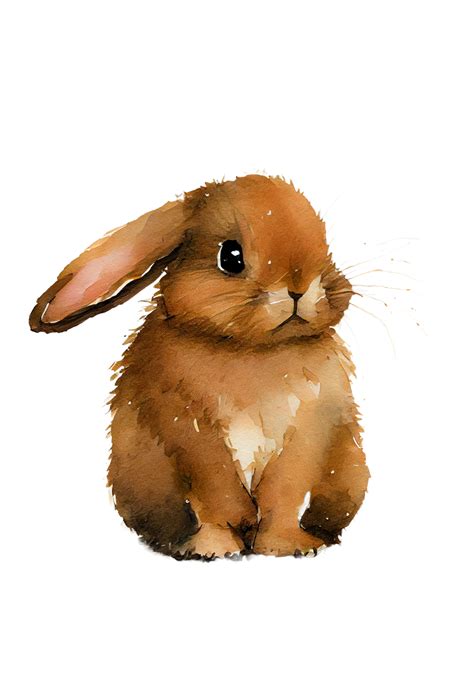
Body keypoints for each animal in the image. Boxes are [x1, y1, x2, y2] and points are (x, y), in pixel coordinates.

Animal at [30, 174, 369, 559]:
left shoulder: (305, 439)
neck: (250, 350)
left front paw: (287, 547)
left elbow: (282, 499)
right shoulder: (192, 442)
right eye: (230, 257)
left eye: (326, 244)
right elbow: (217, 501)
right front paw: (215, 550)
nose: (298, 288)